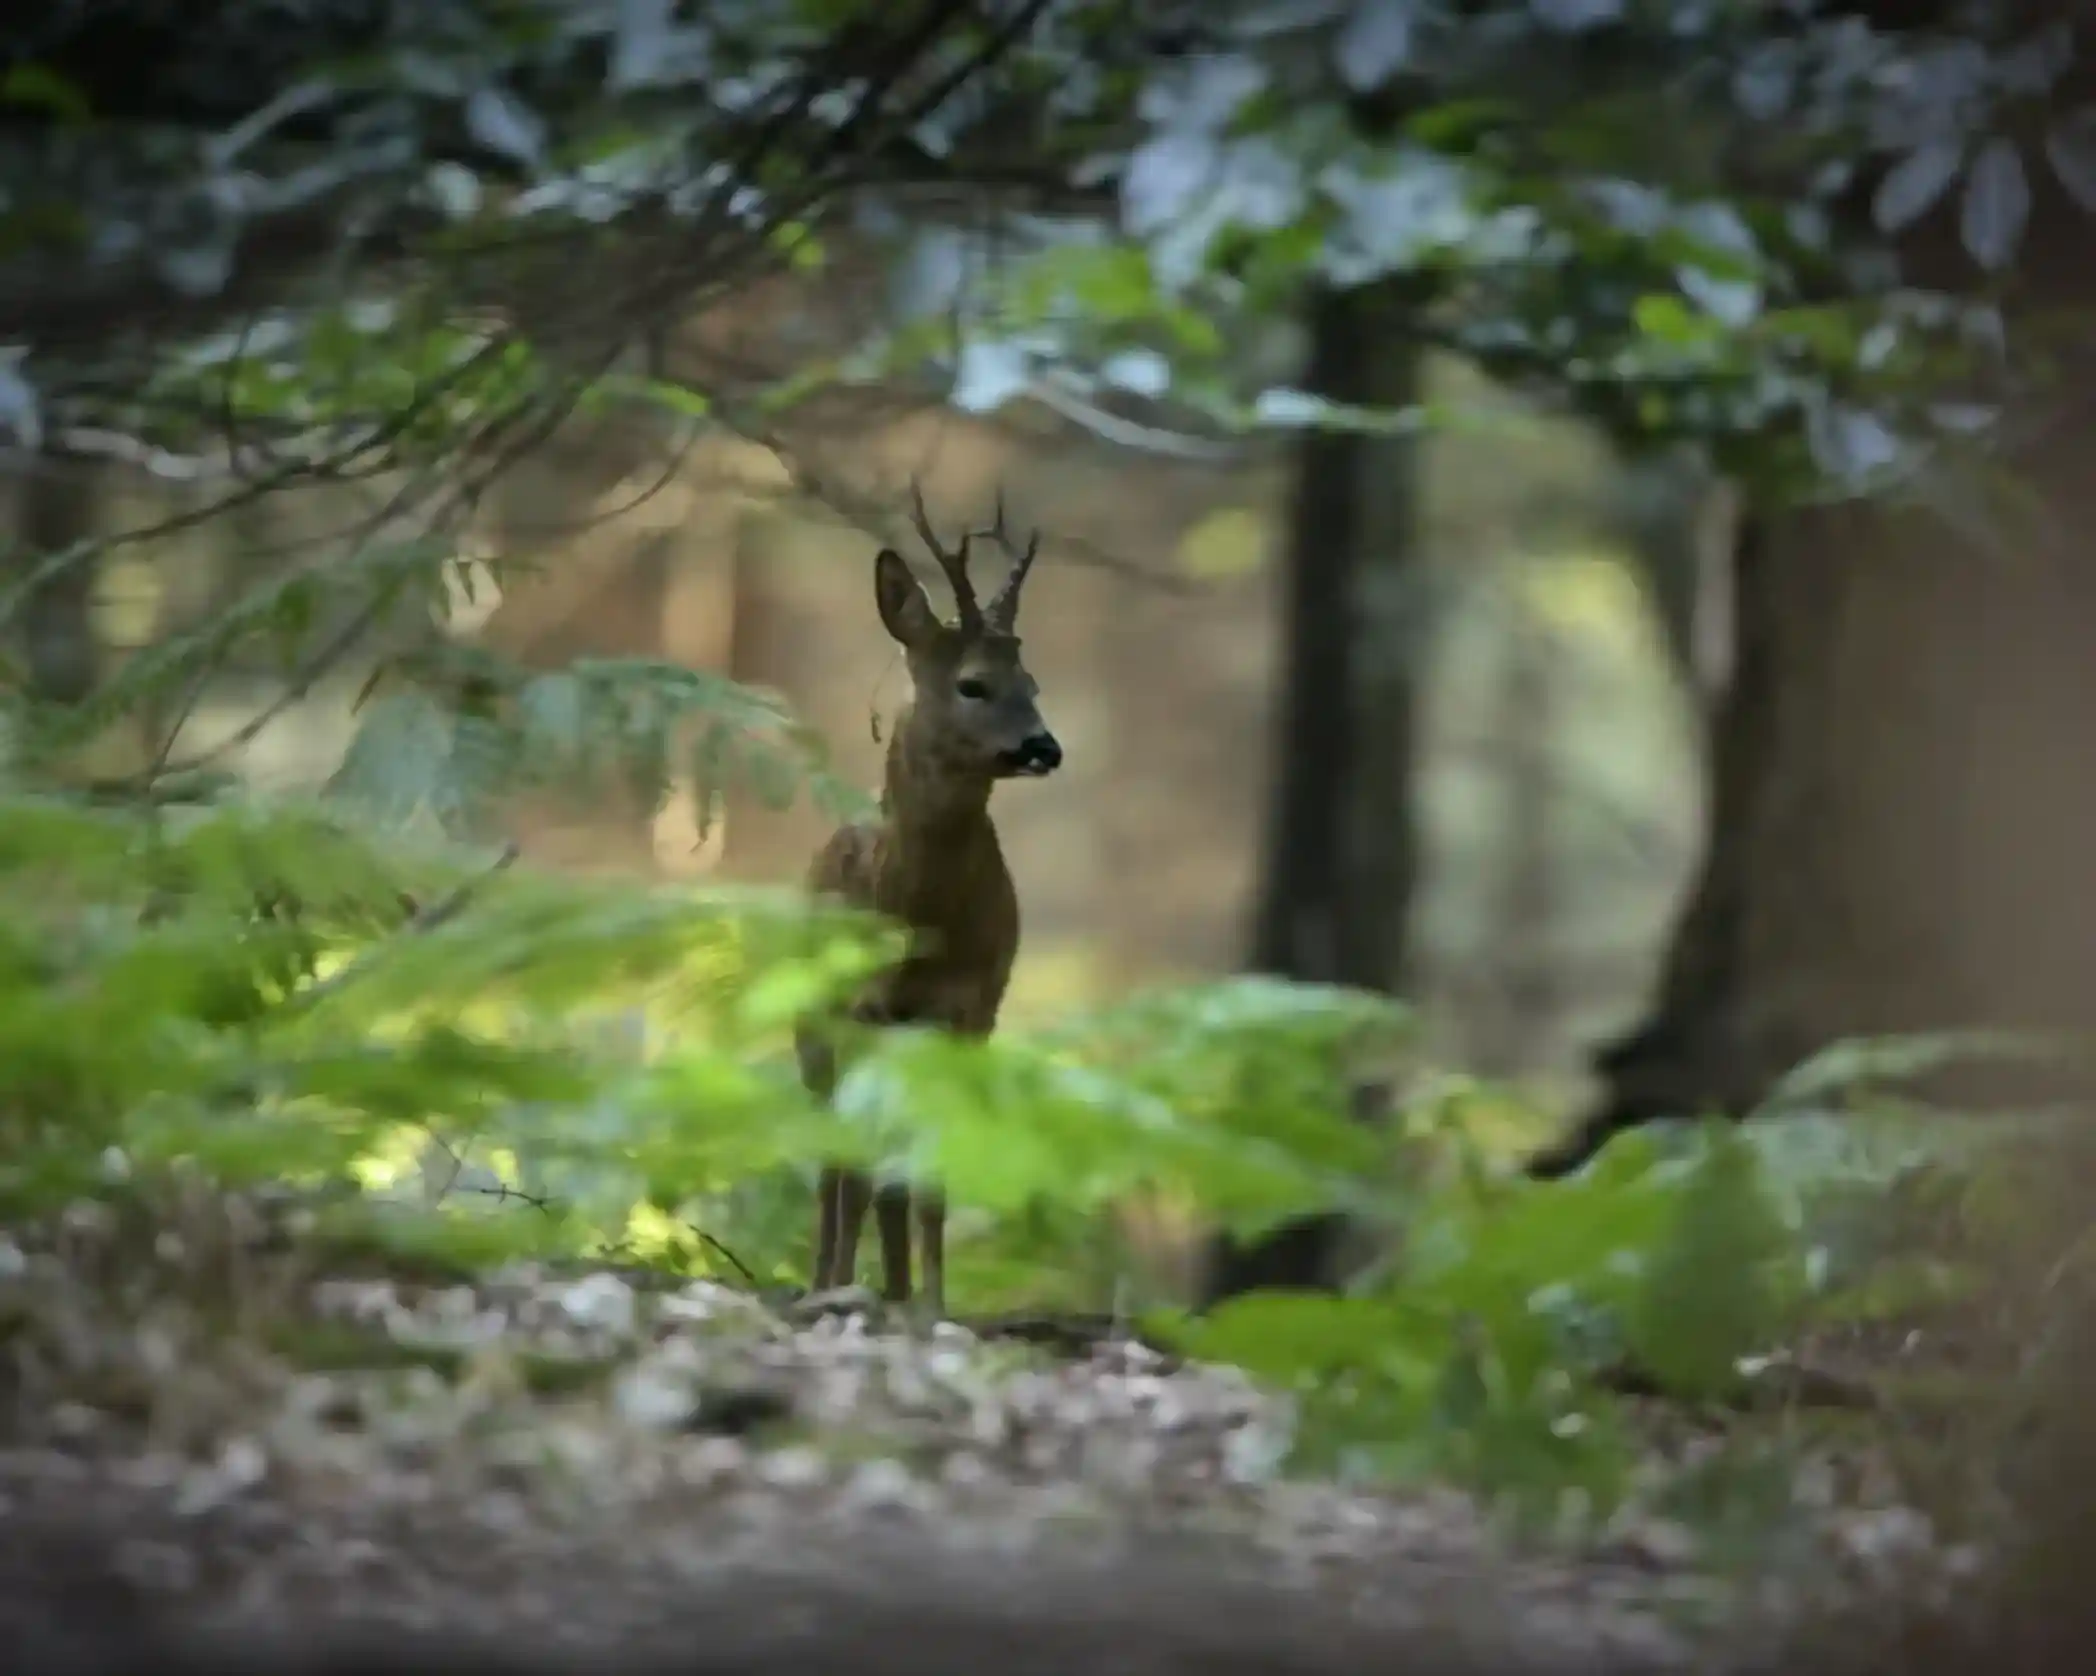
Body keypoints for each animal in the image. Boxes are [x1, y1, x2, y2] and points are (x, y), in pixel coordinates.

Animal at [795, 484, 1060, 1320]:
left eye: (1033, 685)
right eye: (973, 683)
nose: (1045, 748)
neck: (922, 920)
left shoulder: (971, 1010)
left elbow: (930, 1177)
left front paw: (934, 1304)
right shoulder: (860, 1009)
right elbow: (854, 1171)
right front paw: (840, 1288)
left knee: (885, 1174)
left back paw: (895, 1288)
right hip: (811, 1033)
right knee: (832, 1165)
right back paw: (827, 1279)